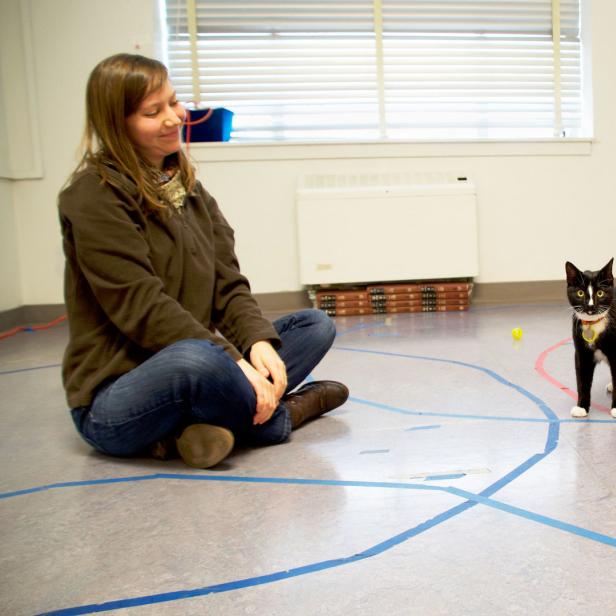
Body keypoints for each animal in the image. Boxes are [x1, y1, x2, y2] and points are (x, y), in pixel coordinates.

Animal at [564, 258, 616, 422]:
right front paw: (581, 407)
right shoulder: (581, 353)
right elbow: (582, 381)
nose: (590, 306)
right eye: (580, 293)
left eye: (600, 292)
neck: (594, 325)